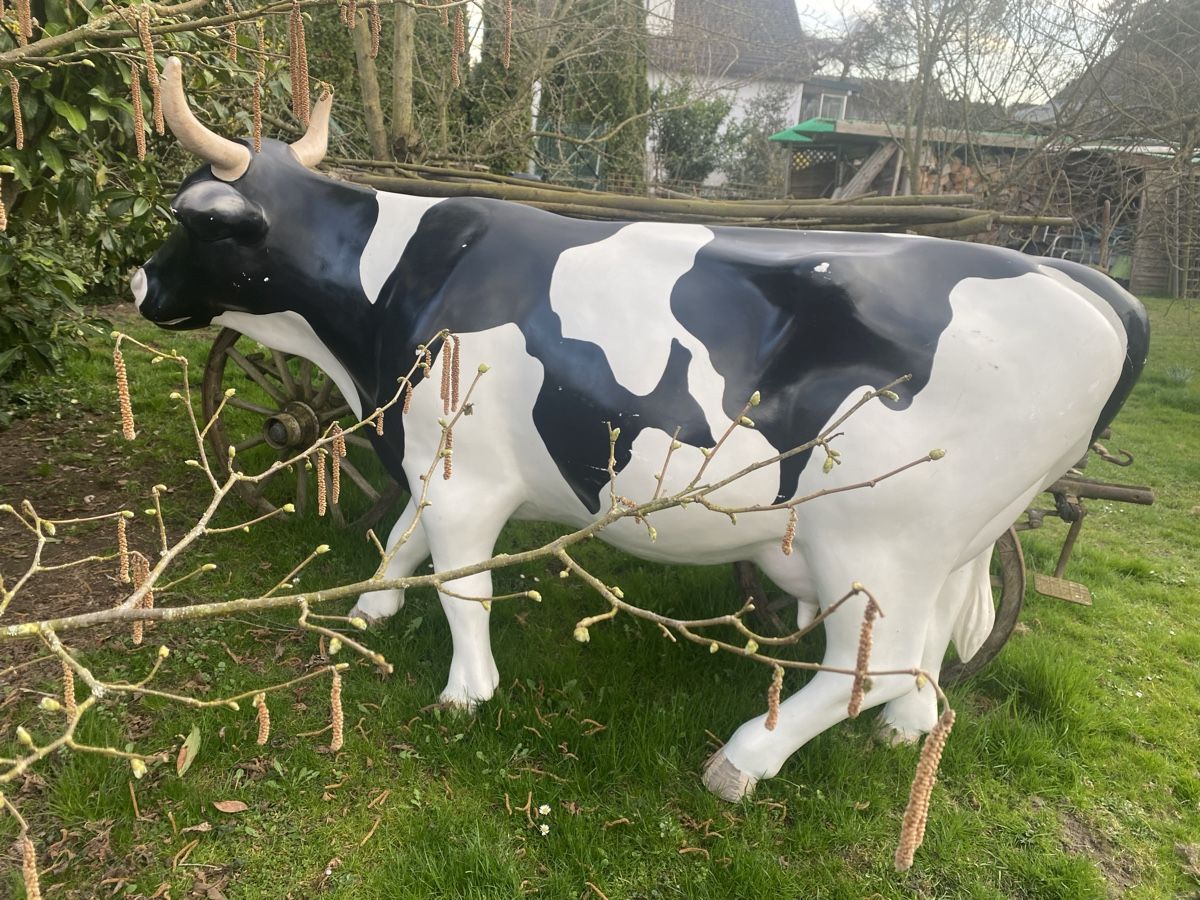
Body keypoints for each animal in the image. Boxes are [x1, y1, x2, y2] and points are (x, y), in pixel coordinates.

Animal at [134, 59, 1148, 801]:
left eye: (191, 218)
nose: (138, 281)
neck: (384, 307)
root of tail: (1080, 282)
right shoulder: (427, 456)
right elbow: (401, 538)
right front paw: (371, 609)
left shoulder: (466, 476)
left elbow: (460, 582)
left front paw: (466, 693)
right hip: (949, 541)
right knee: (929, 651)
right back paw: (906, 735)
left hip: (876, 541)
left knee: (876, 666)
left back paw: (745, 758)